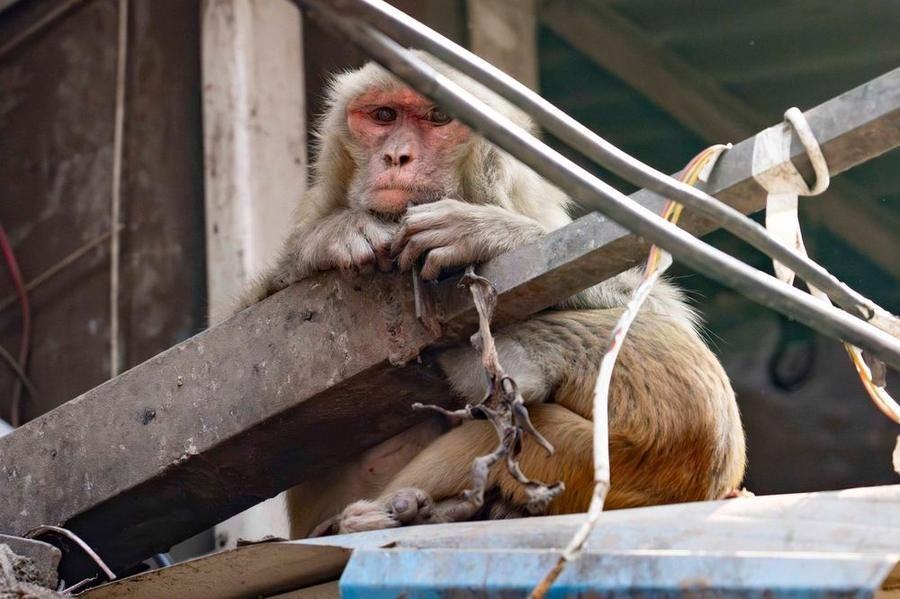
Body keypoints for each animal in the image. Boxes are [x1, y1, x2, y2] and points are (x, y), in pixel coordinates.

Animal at [231, 55, 746, 538]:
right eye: (383, 115)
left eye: (438, 117)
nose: (397, 155)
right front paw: (330, 239)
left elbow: (662, 317)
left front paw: (487, 233)